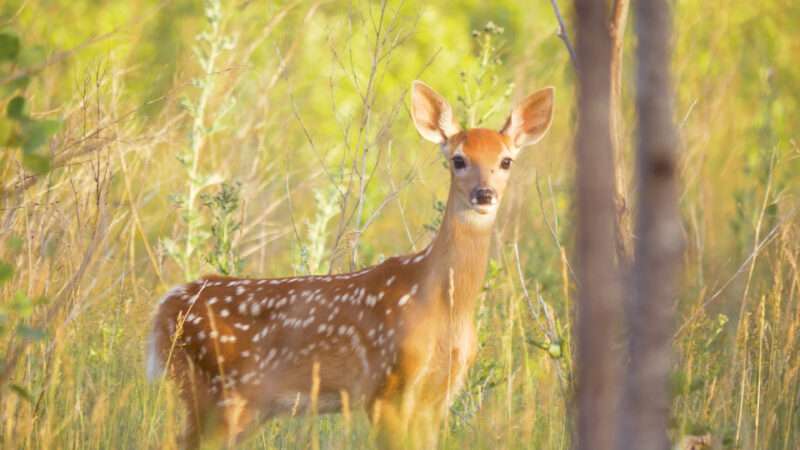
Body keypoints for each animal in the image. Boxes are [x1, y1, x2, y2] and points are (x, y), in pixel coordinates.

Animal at [147, 79, 552, 448]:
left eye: (506, 161)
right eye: (458, 160)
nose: (484, 194)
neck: (444, 304)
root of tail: (166, 304)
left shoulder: (439, 395)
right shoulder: (385, 387)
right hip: (215, 392)